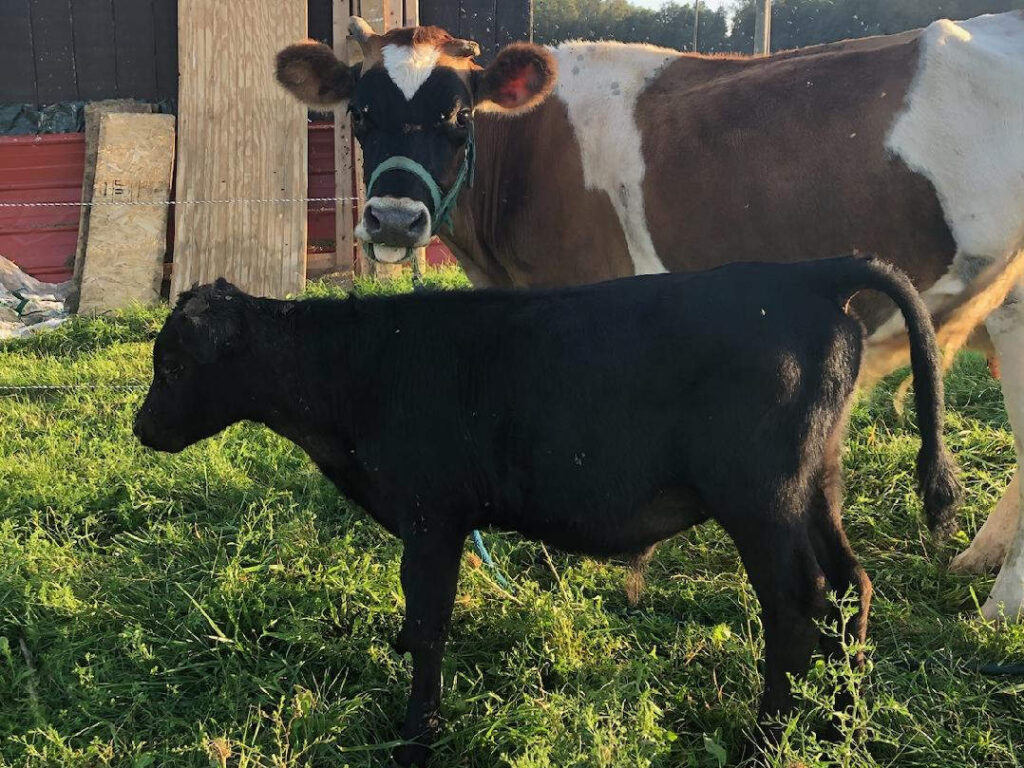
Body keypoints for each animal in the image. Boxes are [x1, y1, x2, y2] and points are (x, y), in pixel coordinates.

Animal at [134, 256, 961, 766]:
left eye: (171, 364)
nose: (142, 428)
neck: (356, 371)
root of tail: (806, 273)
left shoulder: (432, 516)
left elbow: (428, 627)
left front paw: (415, 739)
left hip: (762, 499)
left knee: (796, 607)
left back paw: (766, 741)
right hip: (817, 484)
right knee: (851, 587)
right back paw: (843, 725)